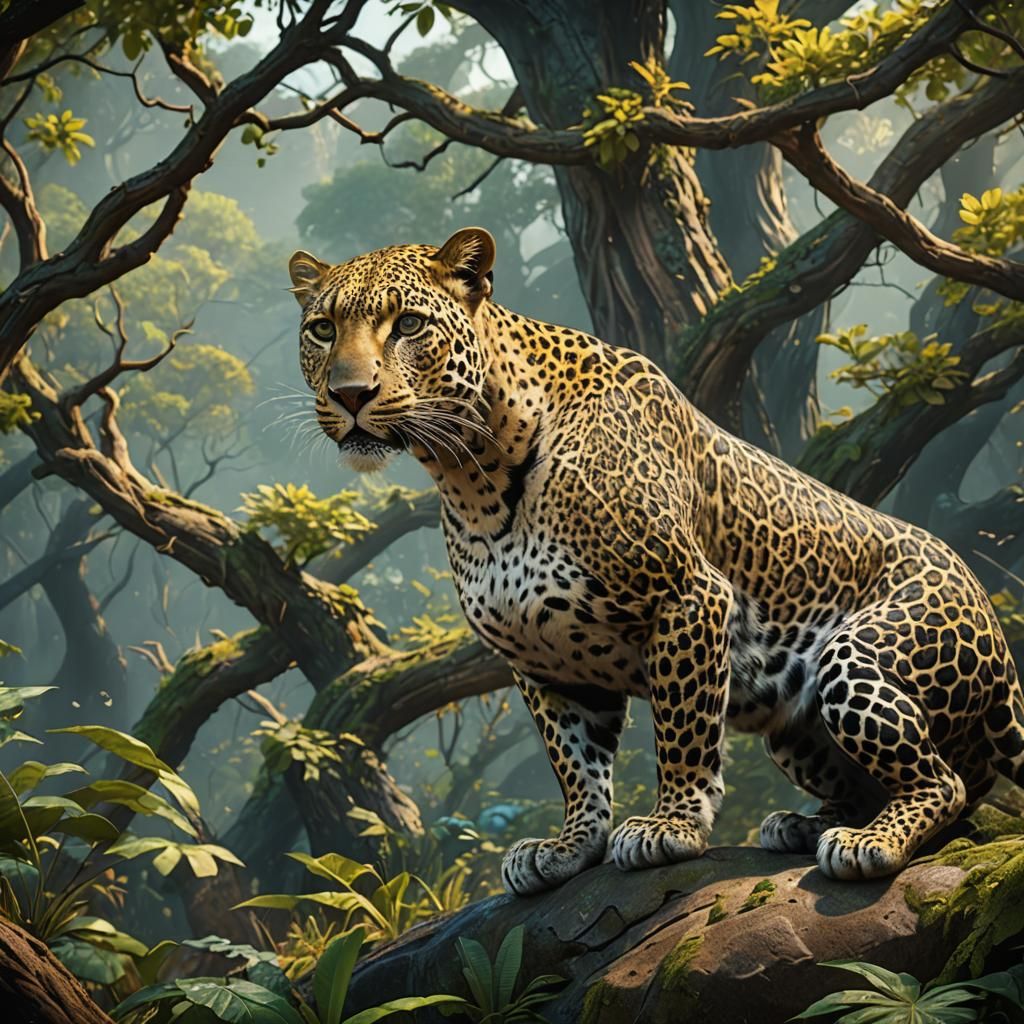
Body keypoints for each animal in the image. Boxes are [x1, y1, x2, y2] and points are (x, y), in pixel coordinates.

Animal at [289, 226, 1023, 895]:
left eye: (408, 324)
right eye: (323, 330)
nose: (350, 394)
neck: (474, 478)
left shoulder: (688, 598)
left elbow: (682, 725)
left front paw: (672, 825)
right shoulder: (542, 659)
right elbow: (574, 763)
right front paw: (569, 848)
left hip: (862, 654)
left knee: (947, 784)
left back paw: (868, 841)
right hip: (793, 728)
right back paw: (804, 823)